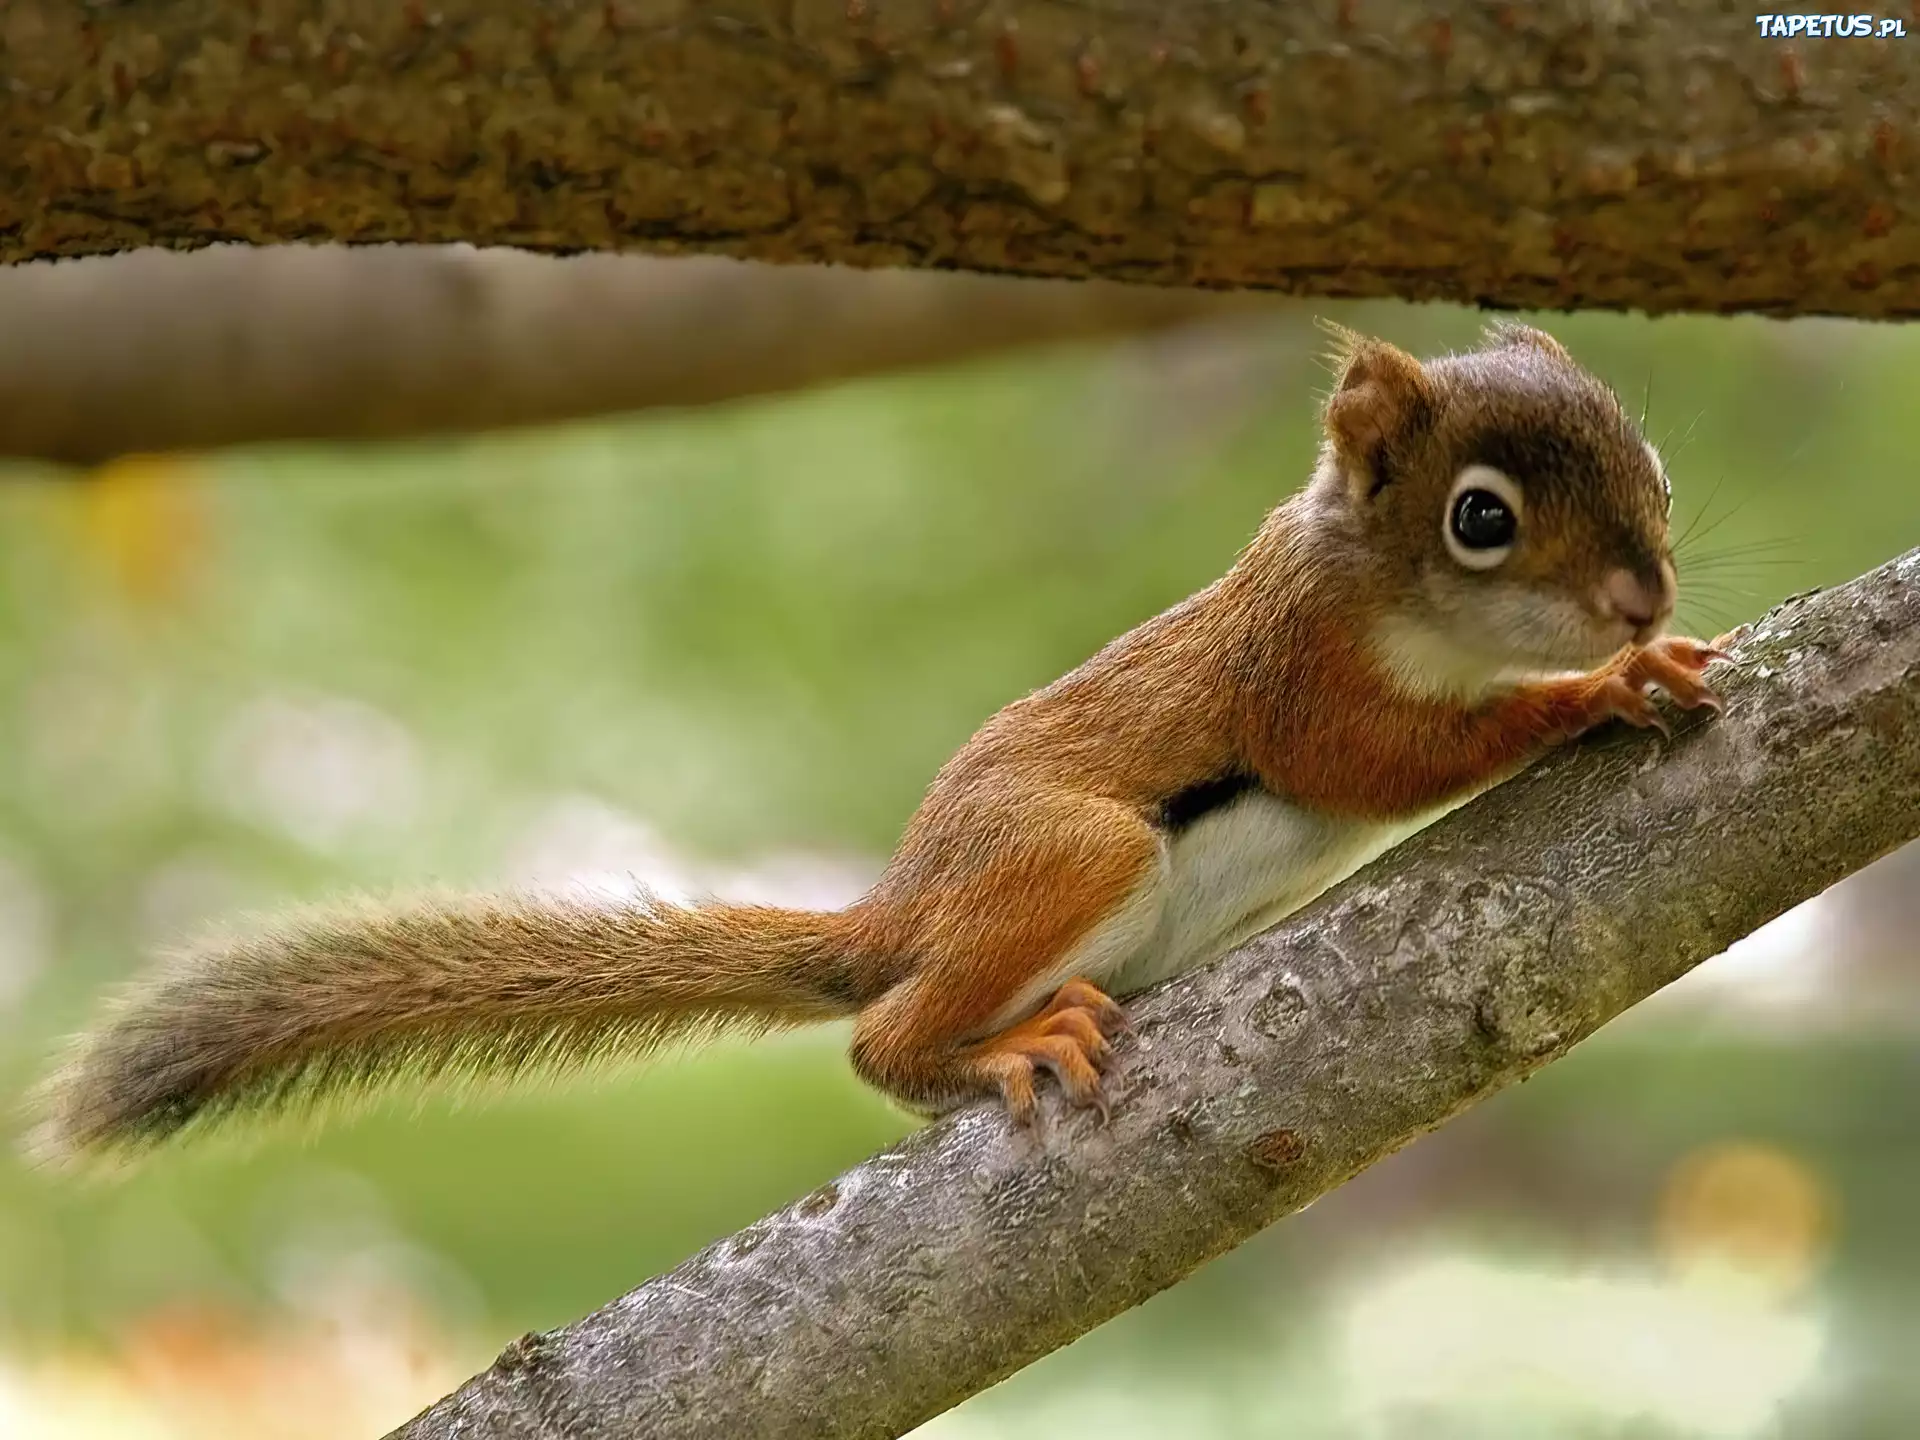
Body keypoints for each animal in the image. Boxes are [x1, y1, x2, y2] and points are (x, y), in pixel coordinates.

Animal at [26, 320, 1728, 1167]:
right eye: (1481, 520)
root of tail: (897, 912)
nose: (1642, 589)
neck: (1374, 586)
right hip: (1071, 853)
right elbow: (1377, 764)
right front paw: (1593, 689)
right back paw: (985, 1043)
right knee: (880, 1042)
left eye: (1646, 452)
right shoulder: (1296, 679)